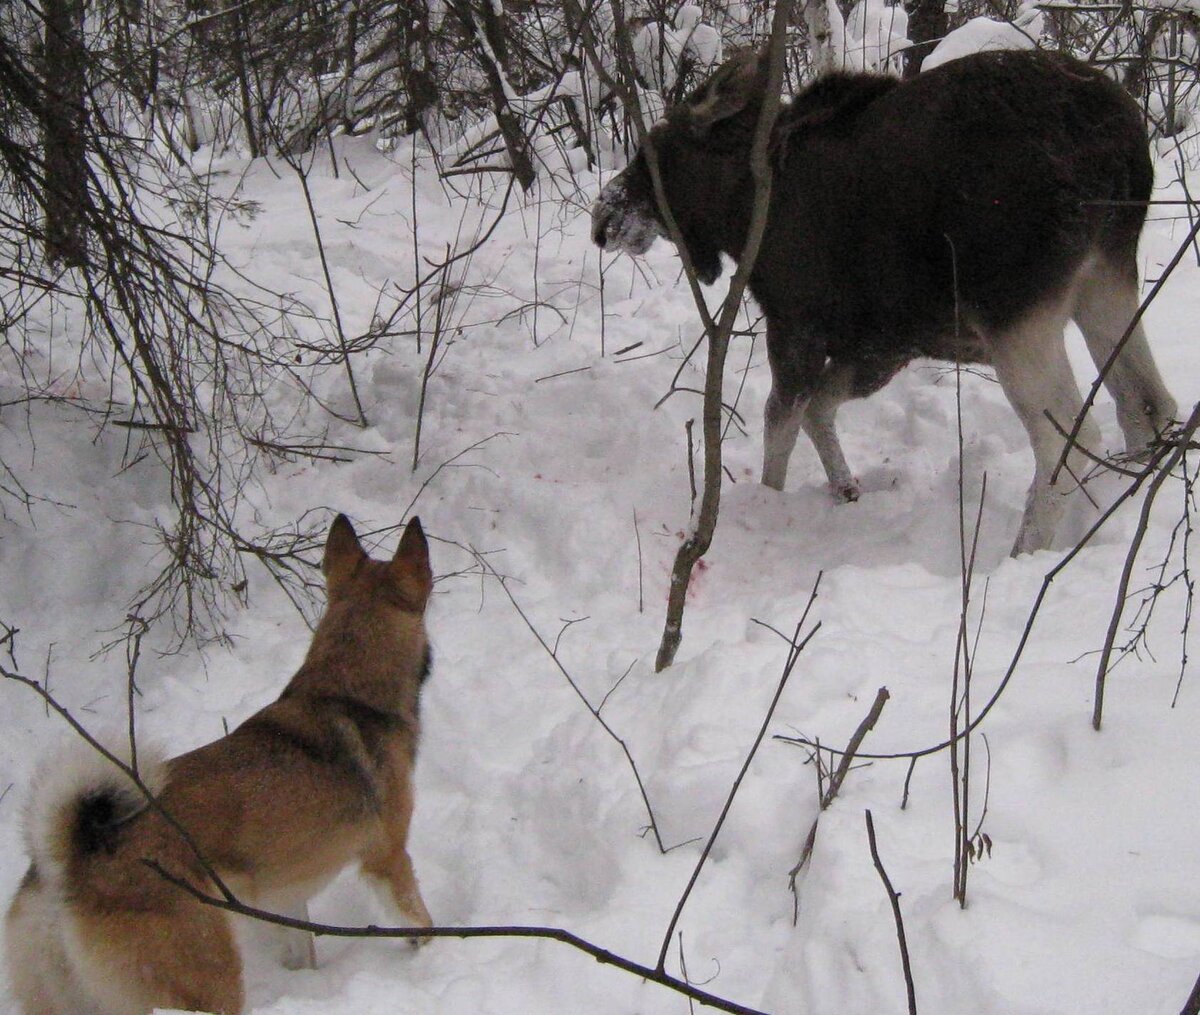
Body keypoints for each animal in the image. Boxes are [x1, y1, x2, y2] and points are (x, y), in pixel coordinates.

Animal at [3, 515, 436, 1015]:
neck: (345, 690)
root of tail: (67, 862)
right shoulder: (388, 858)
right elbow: (419, 920)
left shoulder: (284, 893)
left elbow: (301, 945)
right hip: (212, 979)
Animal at [595, 47, 1176, 556]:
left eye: (653, 152)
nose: (604, 215)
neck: (740, 213)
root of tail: (1118, 143)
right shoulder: (883, 347)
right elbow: (820, 409)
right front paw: (845, 487)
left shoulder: (797, 325)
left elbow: (780, 421)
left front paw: (768, 503)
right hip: (1107, 280)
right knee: (1146, 403)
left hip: (1016, 315)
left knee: (1069, 438)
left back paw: (1024, 553)